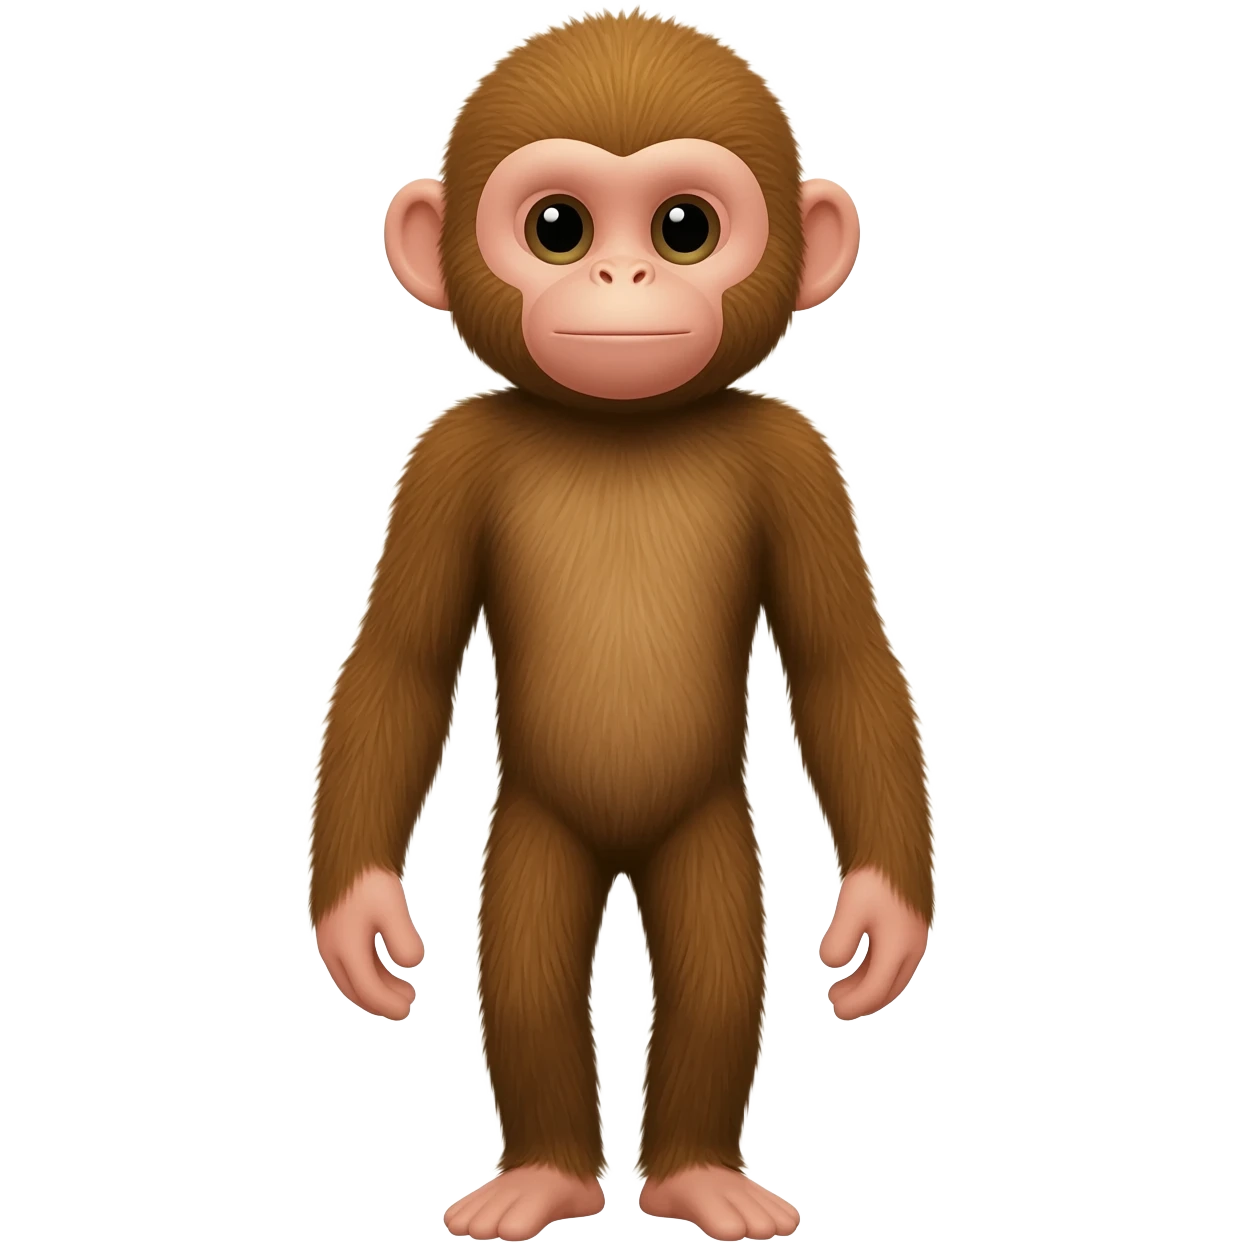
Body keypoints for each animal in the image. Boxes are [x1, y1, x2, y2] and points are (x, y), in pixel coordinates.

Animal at [314, 9, 931, 1242]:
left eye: (683, 227)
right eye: (557, 227)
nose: (621, 271)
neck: (620, 427)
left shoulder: (803, 460)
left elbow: (841, 664)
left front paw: (883, 920)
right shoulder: (441, 460)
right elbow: (400, 665)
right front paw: (359, 920)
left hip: (706, 836)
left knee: (716, 974)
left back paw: (696, 1173)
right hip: (537, 834)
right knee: (527, 975)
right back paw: (546, 1174)